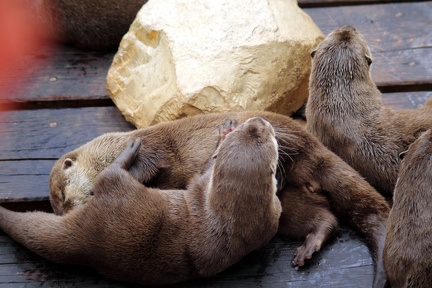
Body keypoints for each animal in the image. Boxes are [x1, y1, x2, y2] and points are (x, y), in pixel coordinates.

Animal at [49, 109, 390, 286]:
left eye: (62, 197)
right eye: (59, 206)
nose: (65, 214)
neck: (111, 150)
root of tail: (311, 139)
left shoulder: (152, 147)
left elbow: (147, 165)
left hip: (281, 135)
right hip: (286, 208)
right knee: (324, 216)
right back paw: (308, 247)